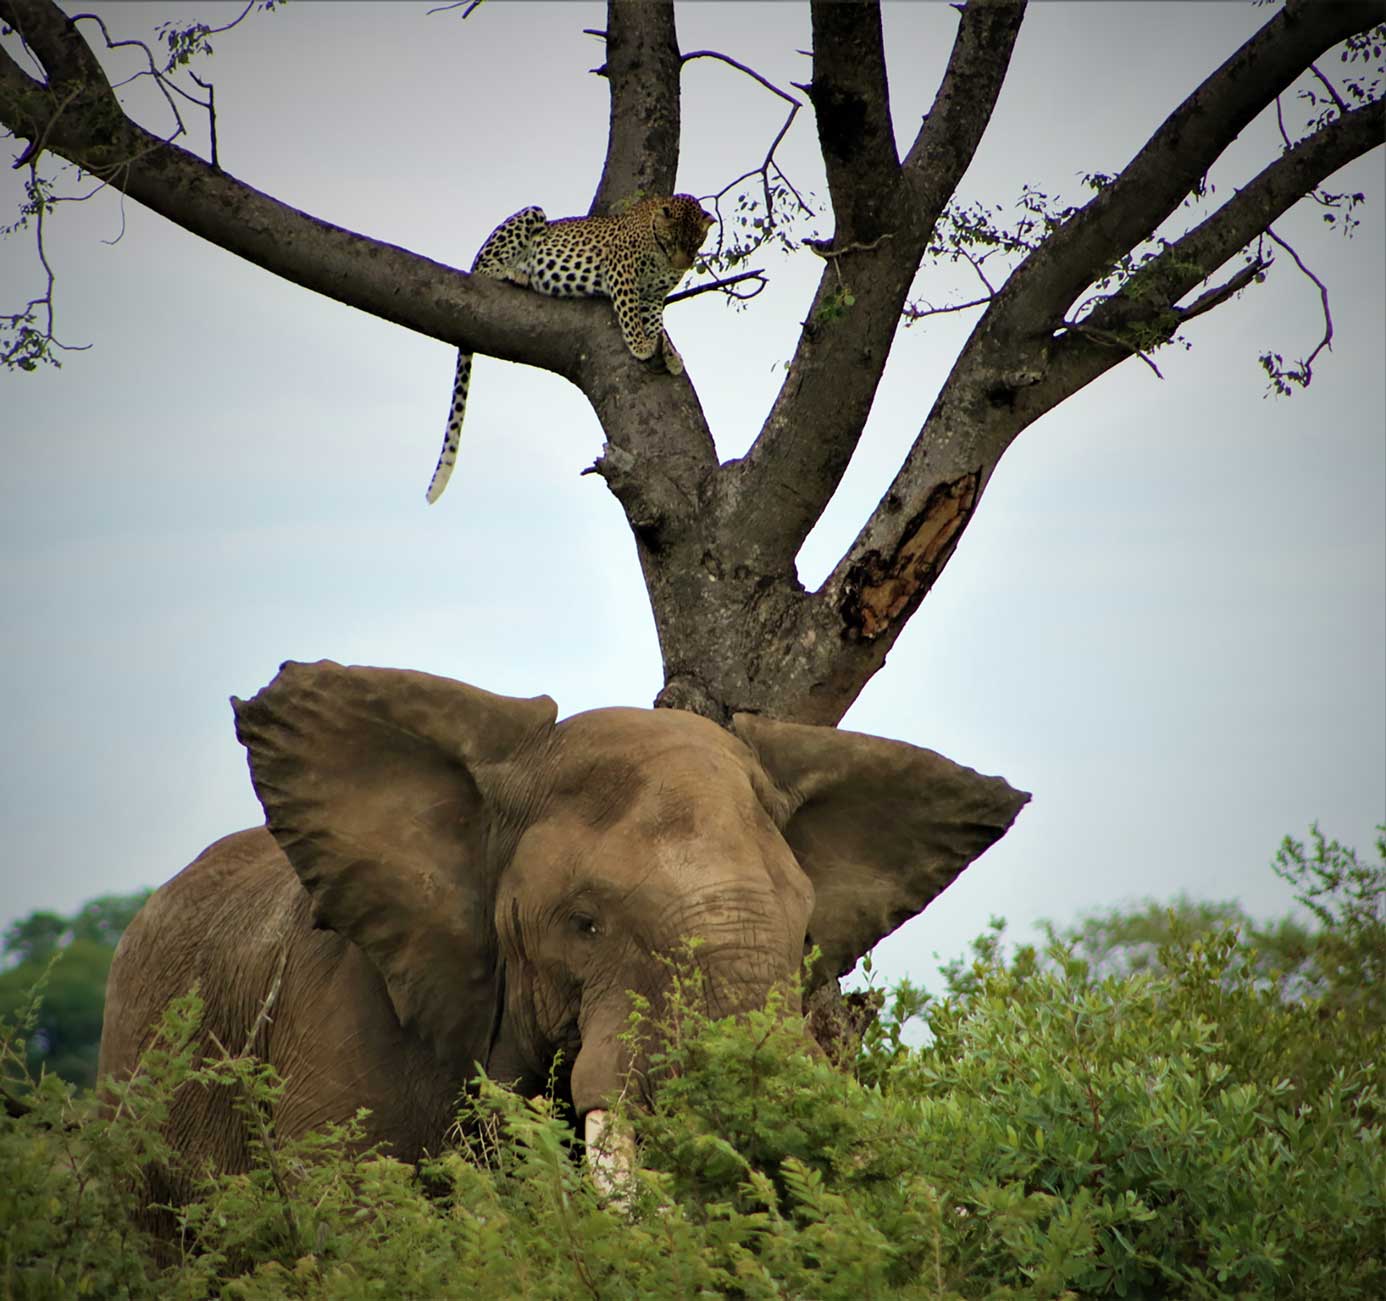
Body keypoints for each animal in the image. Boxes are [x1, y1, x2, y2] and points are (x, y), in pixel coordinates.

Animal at [425, 194, 715, 504]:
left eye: (695, 243)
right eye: (673, 240)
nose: (682, 265)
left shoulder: (652, 296)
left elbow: (657, 324)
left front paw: (670, 354)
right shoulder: (622, 269)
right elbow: (629, 313)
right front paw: (640, 344)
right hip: (529, 216)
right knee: (484, 267)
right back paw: (515, 273)